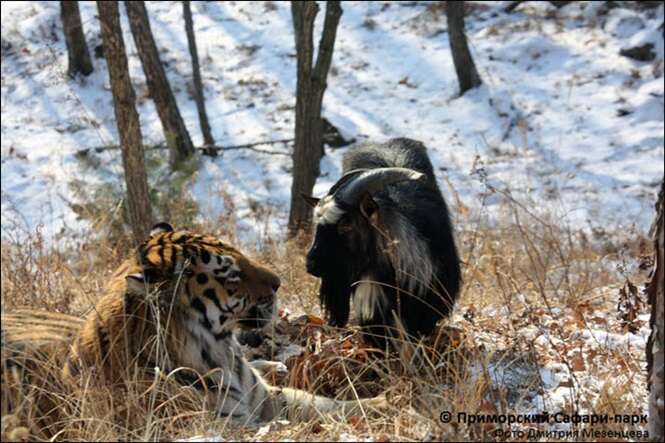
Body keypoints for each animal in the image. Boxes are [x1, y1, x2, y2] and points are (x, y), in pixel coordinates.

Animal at [1, 224, 384, 438]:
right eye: (231, 273)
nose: (278, 282)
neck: (222, 352)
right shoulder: (224, 427)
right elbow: (298, 427)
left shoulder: (266, 399)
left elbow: (327, 405)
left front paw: (383, 402)